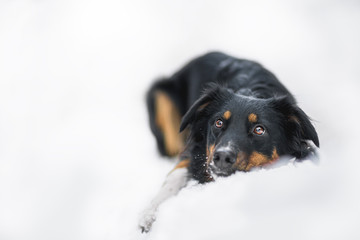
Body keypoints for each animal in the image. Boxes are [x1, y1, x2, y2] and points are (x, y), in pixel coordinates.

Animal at [139, 51, 320, 232]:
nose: (222, 157)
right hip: (160, 96)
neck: (252, 91)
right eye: (218, 122)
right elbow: (174, 177)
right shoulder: (194, 151)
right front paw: (149, 214)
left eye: (259, 129)